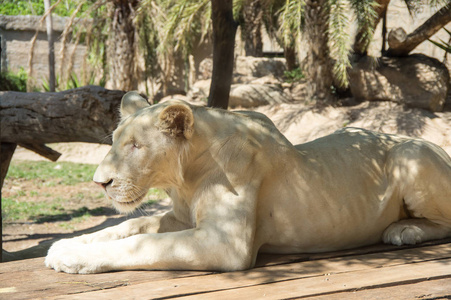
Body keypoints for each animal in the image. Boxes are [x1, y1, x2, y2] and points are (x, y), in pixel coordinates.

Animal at [45, 92, 451, 274]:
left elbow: (141, 244)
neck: (185, 179)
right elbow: (128, 226)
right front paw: (66, 243)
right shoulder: (181, 217)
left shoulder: (226, 243)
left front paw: (71, 257)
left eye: (135, 146)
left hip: (410, 153)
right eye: (115, 140)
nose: (100, 183)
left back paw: (403, 230)